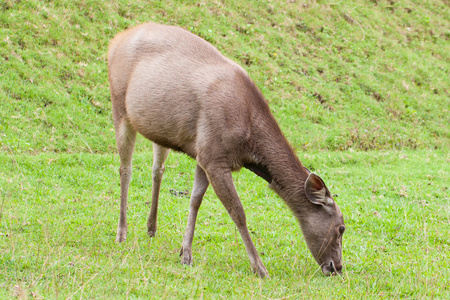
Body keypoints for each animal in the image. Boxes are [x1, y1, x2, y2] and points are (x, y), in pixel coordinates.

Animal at [107, 22, 346, 278]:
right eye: (341, 227)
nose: (337, 267)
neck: (248, 141)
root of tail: (115, 40)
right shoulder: (214, 156)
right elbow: (237, 211)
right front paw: (259, 267)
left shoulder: (203, 153)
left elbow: (195, 199)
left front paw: (185, 253)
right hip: (119, 105)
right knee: (125, 169)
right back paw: (121, 232)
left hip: (158, 129)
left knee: (157, 169)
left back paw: (151, 228)